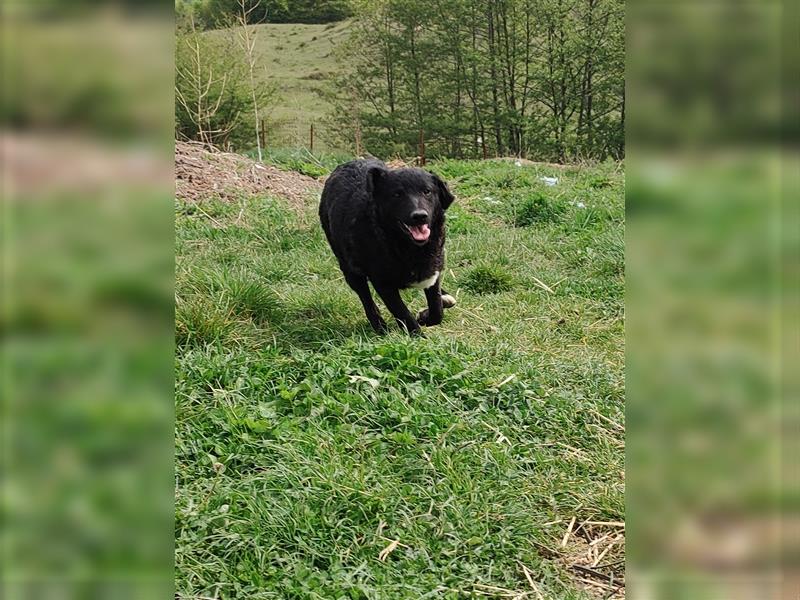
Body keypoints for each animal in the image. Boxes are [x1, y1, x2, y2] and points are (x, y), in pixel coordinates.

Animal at [318, 159, 456, 336]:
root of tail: (347, 163)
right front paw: (418, 337)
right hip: (350, 270)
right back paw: (379, 326)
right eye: (397, 194)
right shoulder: (383, 283)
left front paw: (425, 316)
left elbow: (437, 310)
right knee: (367, 300)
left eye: (427, 191)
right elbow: (403, 314)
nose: (419, 216)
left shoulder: (434, 270)